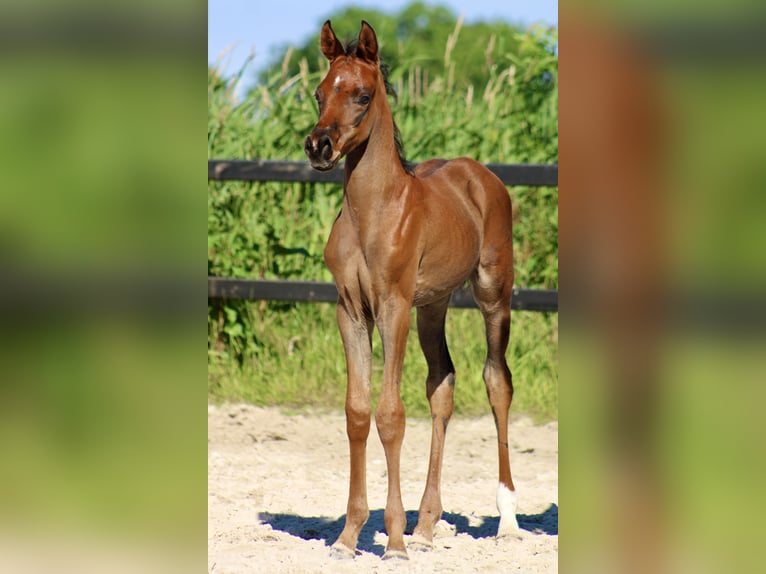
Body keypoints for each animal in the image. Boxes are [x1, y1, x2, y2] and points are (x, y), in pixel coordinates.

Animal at [306, 20, 520, 560]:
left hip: (492, 293)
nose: (318, 147)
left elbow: (390, 414)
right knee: (442, 385)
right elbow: (358, 413)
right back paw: (427, 527)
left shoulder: (393, 308)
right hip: (433, 305)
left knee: (497, 382)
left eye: (362, 95)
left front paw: (394, 540)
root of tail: (478, 173)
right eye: (319, 92)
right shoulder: (351, 312)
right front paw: (348, 536)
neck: (373, 212)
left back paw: (506, 518)